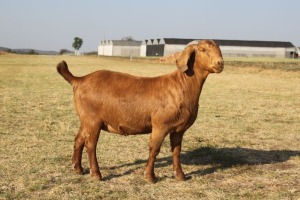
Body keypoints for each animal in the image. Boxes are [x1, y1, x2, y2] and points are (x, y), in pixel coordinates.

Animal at [57, 39, 224, 183]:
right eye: (203, 50)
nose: (220, 63)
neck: (181, 85)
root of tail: (79, 80)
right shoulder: (160, 125)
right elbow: (154, 149)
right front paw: (150, 176)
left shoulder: (179, 129)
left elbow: (176, 151)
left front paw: (180, 176)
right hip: (93, 120)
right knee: (91, 144)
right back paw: (96, 174)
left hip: (85, 118)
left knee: (79, 139)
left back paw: (78, 169)